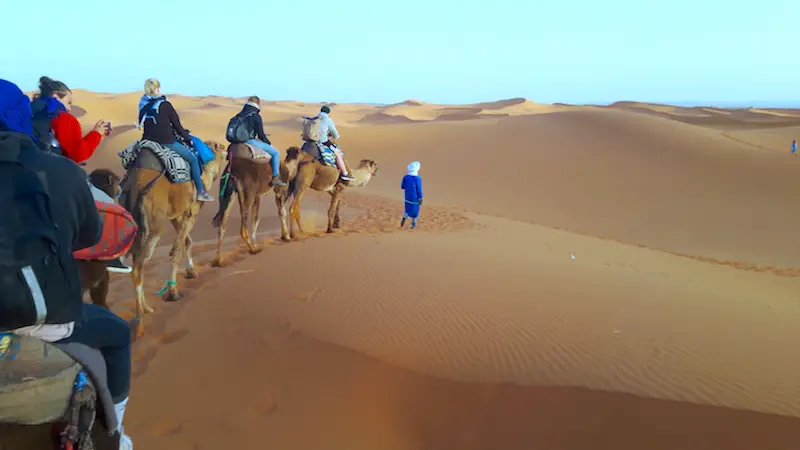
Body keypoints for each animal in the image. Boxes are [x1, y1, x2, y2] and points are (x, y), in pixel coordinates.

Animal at [121, 141, 228, 338]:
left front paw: (192, 272)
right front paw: (173, 292)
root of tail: (135, 186)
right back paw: (140, 322)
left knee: (138, 261)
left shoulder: (177, 216)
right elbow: (176, 250)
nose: (226, 149)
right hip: (155, 225)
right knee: (138, 266)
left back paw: (147, 308)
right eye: (222, 149)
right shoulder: (190, 211)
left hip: (135, 224)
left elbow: (187, 242)